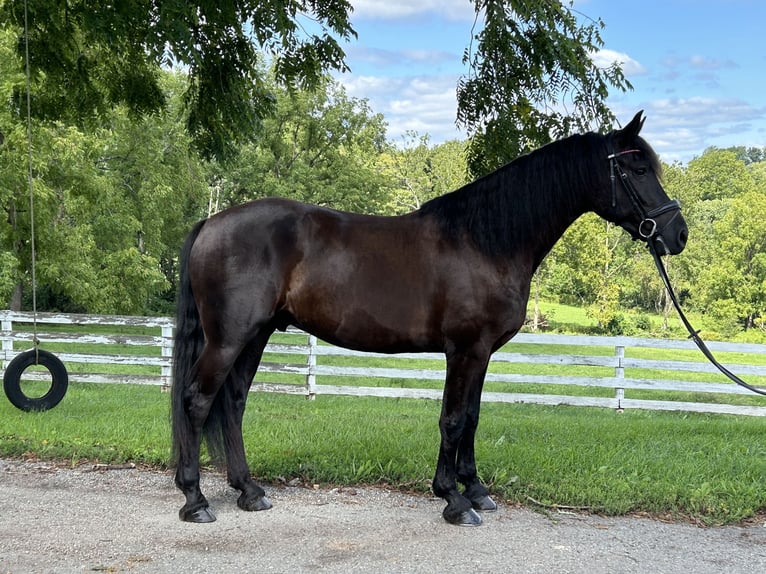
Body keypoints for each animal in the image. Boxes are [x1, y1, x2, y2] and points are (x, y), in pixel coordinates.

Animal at [172, 111, 688, 528]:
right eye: (638, 168)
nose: (677, 233)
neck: (486, 241)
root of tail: (212, 222)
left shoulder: (481, 353)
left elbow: (473, 417)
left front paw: (476, 489)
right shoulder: (465, 350)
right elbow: (453, 419)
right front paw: (454, 501)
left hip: (255, 335)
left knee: (233, 403)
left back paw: (249, 490)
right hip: (228, 339)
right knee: (197, 401)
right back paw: (195, 500)